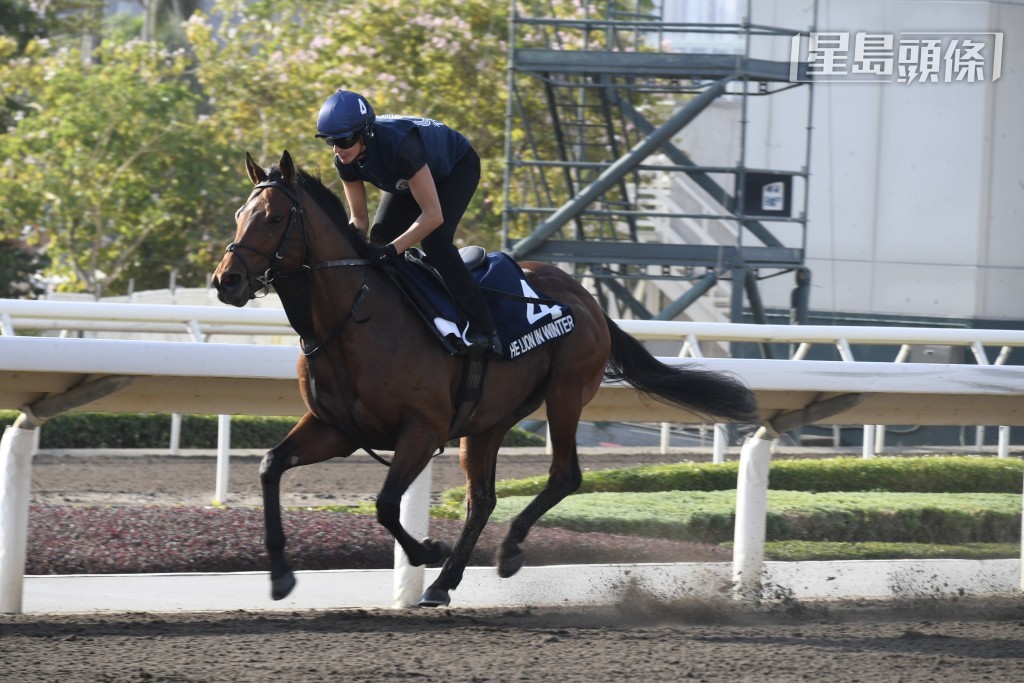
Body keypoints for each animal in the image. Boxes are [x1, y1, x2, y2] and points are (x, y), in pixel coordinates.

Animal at [212, 150, 759, 607]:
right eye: (238, 214)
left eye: (274, 217)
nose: (225, 281)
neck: (355, 316)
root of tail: (586, 296)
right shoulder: (337, 428)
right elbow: (270, 466)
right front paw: (281, 575)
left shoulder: (422, 429)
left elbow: (387, 504)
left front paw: (426, 549)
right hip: (487, 420)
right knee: (483, 499)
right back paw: (443, 584)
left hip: (565, 393)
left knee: (564, 475)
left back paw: (506, 552)